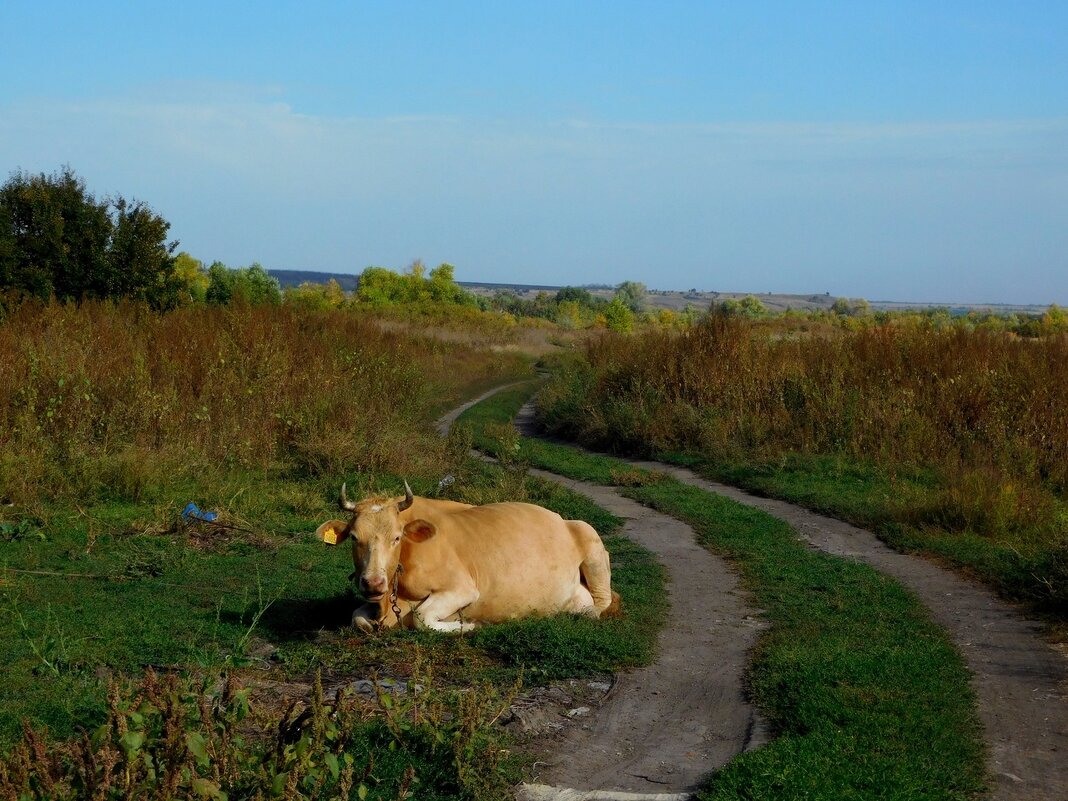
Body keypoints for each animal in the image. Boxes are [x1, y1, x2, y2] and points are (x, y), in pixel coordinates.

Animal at [311, 482, 623, 632]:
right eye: (354, 537)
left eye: (397, 537)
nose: (373, 583)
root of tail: (561, 518)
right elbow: (357, 617)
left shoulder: (463, 588)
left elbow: (421, 618)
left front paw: (469, 625)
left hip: (590, 538)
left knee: (602, 602)